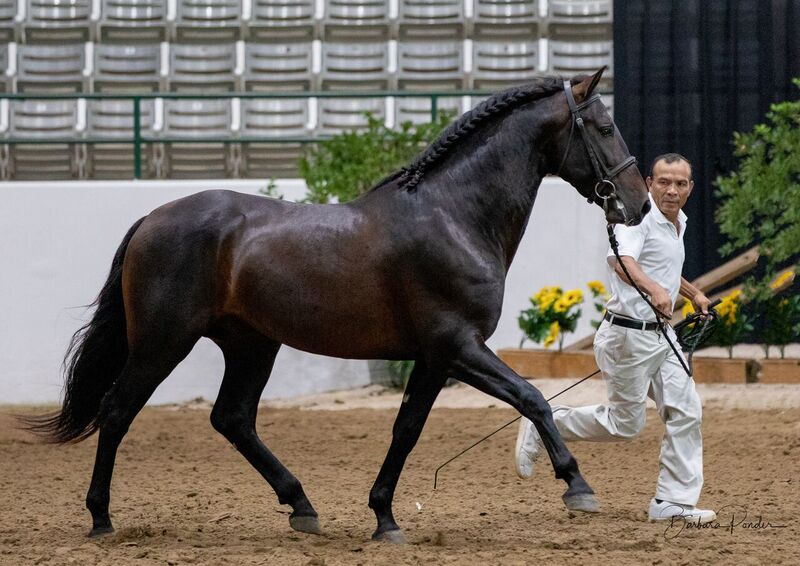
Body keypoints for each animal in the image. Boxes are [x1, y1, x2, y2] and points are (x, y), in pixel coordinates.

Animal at [28, 70, 648, 544]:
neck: (454, 216)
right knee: (117, 412)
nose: (639, 205)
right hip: (164, 343)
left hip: (252, 345)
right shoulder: (459, 346)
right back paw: (101, 518)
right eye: (605, 127)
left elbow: (406, 430)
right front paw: (578, 487)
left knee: (232, 418)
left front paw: (384, 517)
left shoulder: (433, 358)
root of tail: (151, 220)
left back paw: (302, 506)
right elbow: (533, 398)